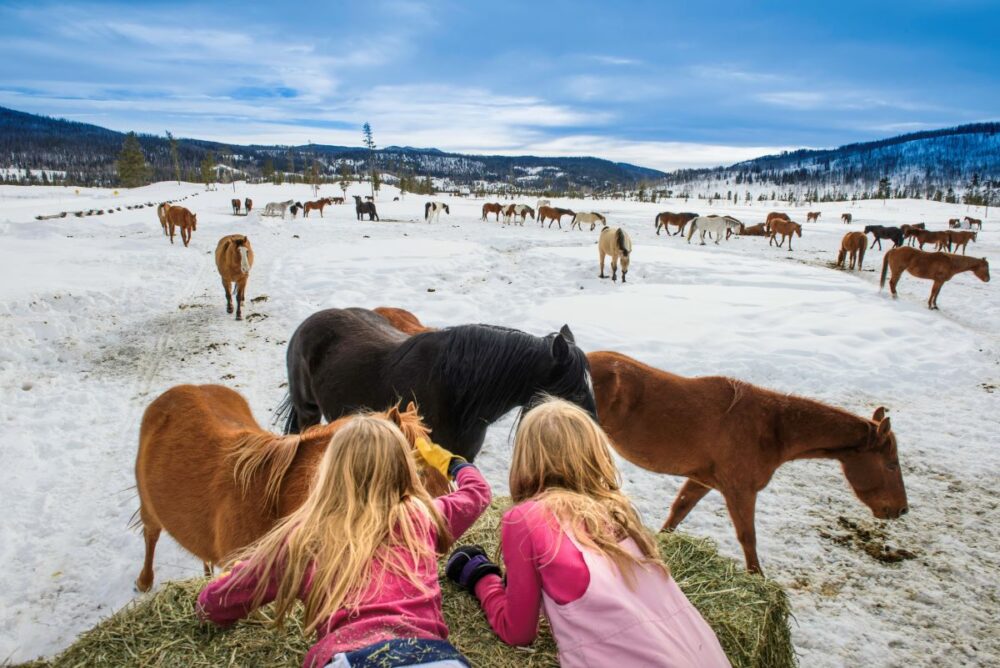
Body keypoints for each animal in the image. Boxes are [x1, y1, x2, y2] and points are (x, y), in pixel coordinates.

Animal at [134, 384, 450, 592]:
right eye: (418, 471)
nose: (445, 532)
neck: (269, 498)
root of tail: (178, 391)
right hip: (149, 510)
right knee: (150, 536)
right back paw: (144, 581)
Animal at [584, 350, 908, 576]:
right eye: (891, 464)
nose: (901, 509)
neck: (773, 429)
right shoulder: (740, 491)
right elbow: (748, 538)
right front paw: (757, 578)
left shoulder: (702, 481)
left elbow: (678, 512)